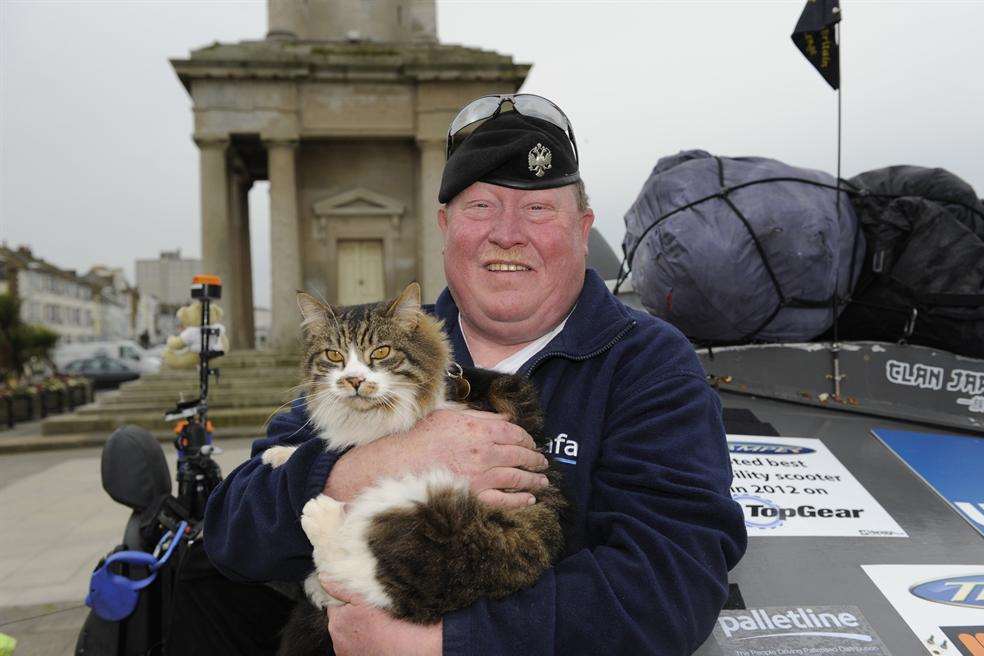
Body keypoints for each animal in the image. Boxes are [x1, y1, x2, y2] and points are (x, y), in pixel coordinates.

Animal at [266, 282, 564, 656]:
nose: (353, 380)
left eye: (381, 352)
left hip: (439, 516)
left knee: (374, 570)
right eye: (334, 356)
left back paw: (320, 516)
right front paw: (280, 453)